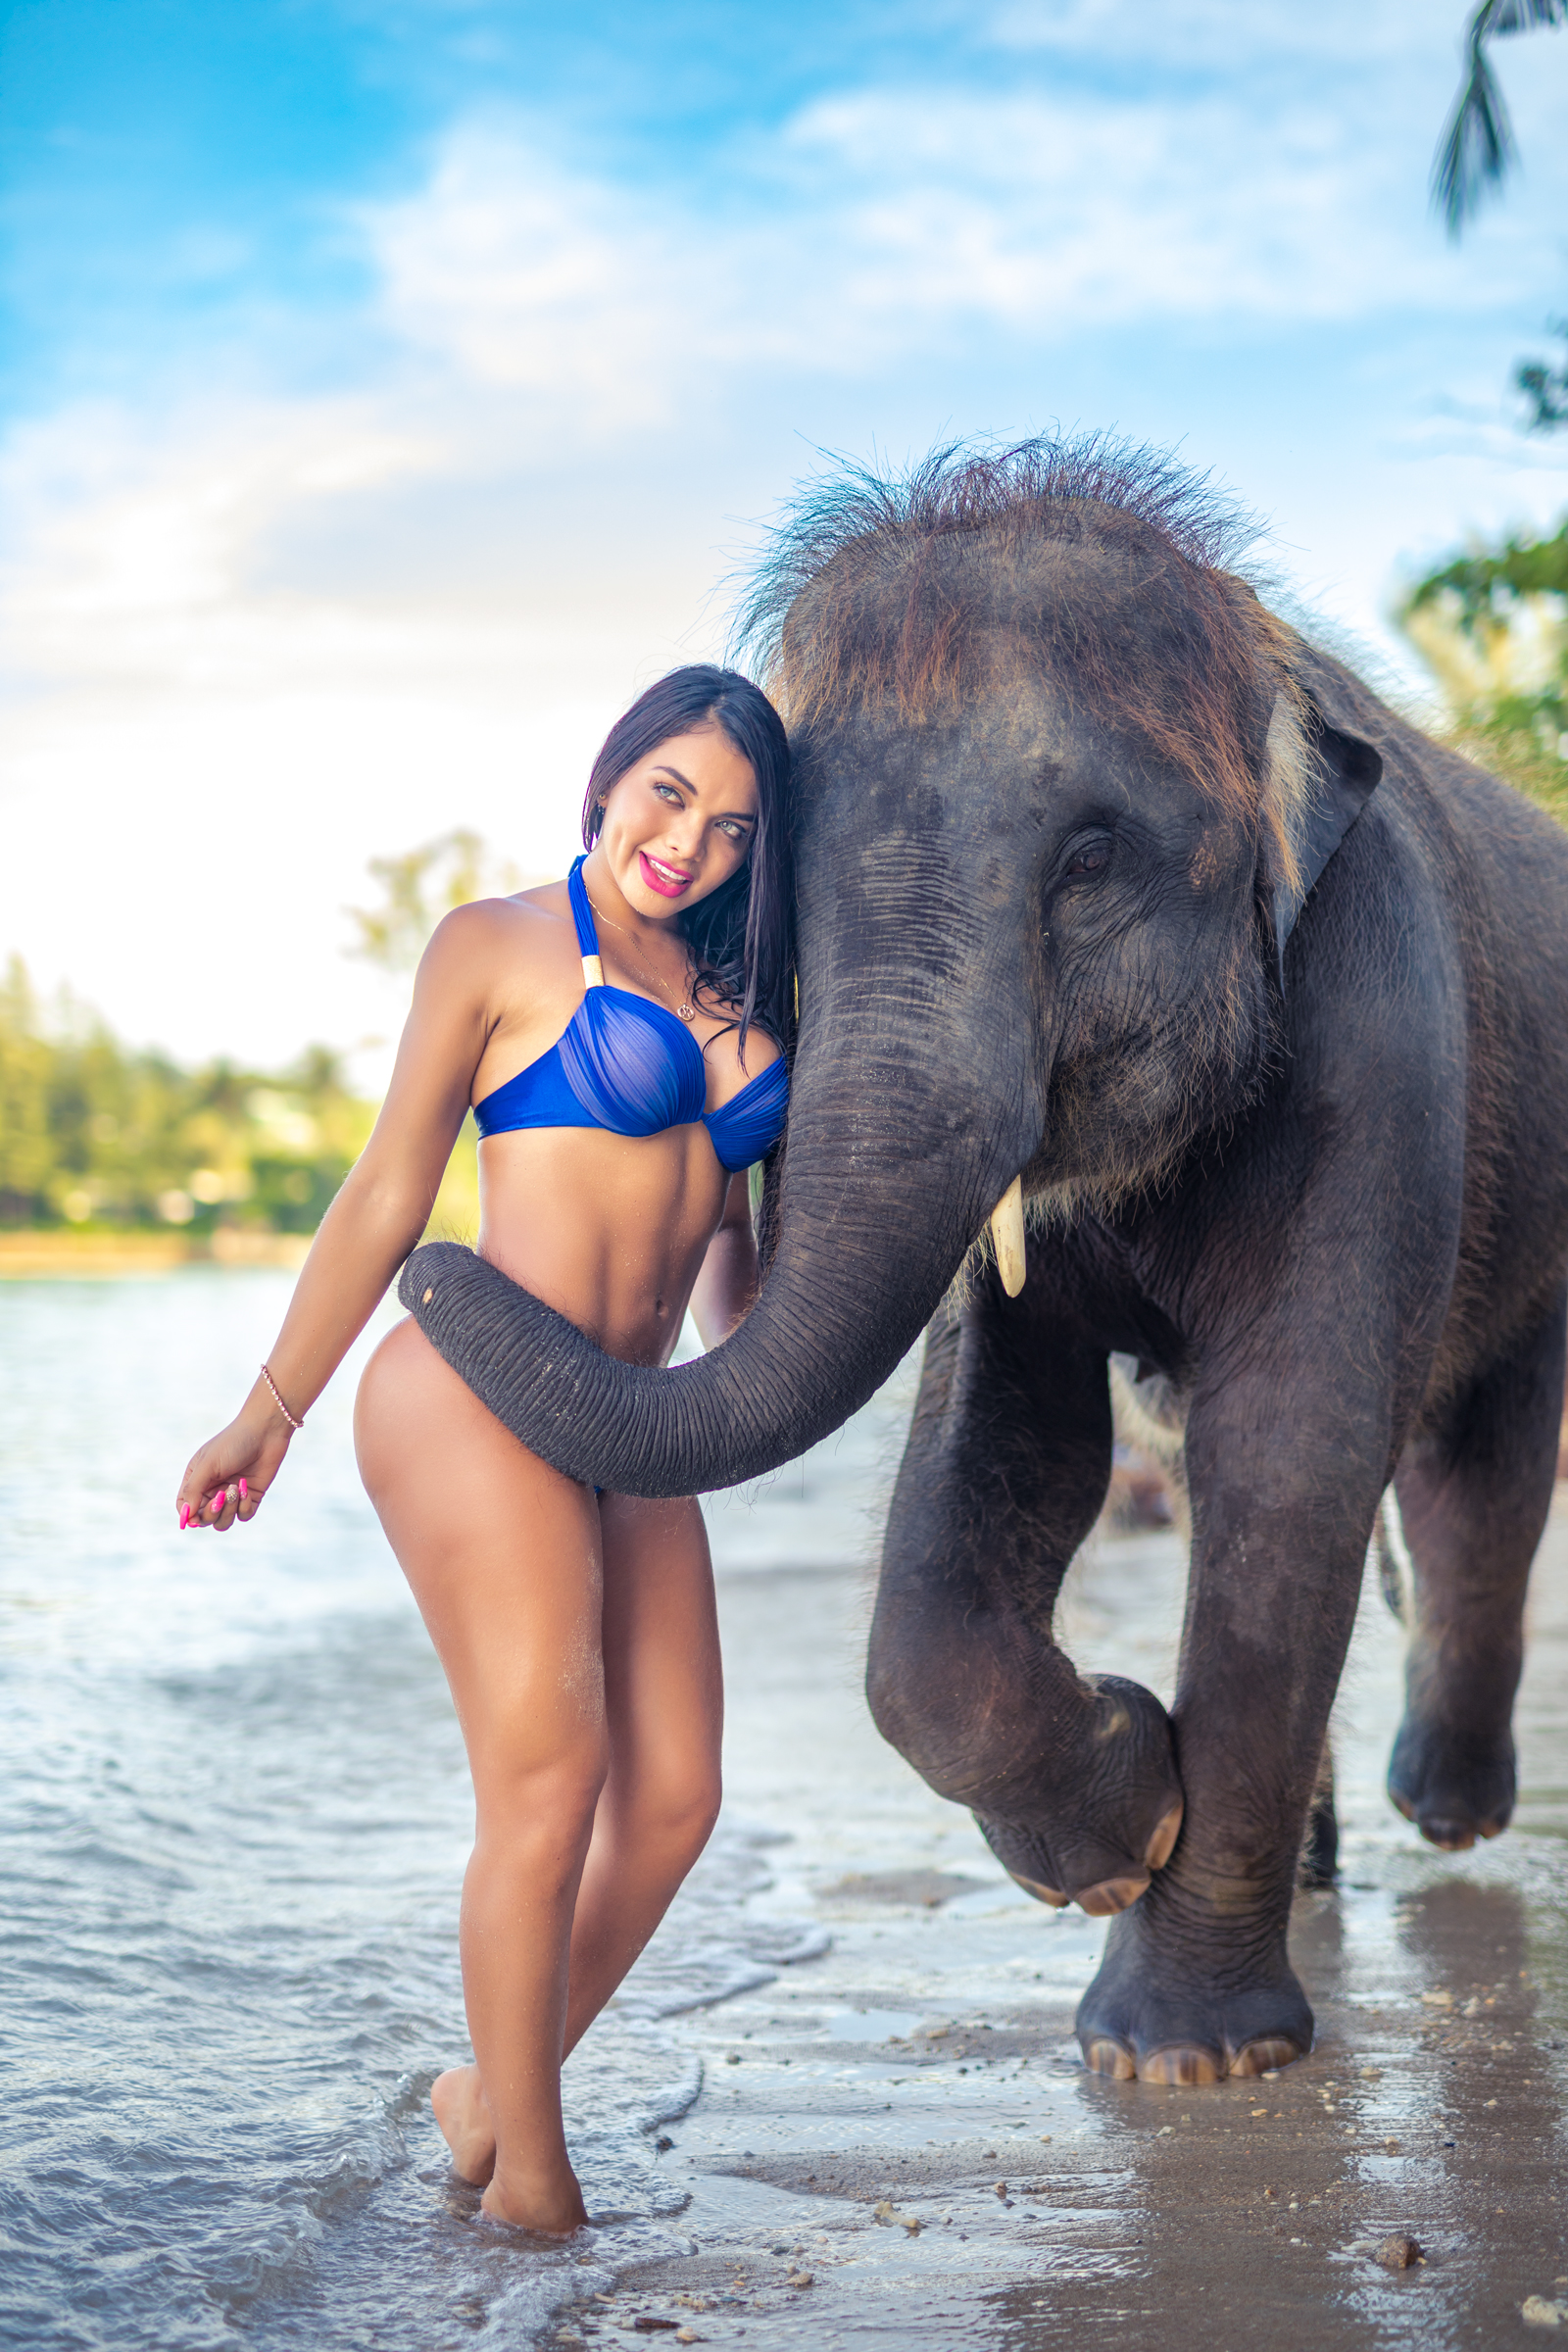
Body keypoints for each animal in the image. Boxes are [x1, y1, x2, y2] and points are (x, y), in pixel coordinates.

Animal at [398, 435, 1568, 2087]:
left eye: (1088, 858)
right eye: (779, 872)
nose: (425, 1261)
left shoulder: (1376, 1019)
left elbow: (1295, 1445)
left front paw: (1177, 2059)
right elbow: (1006, 1435)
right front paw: (1125, 1812)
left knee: (1476, 1464)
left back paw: (1444, 1809)